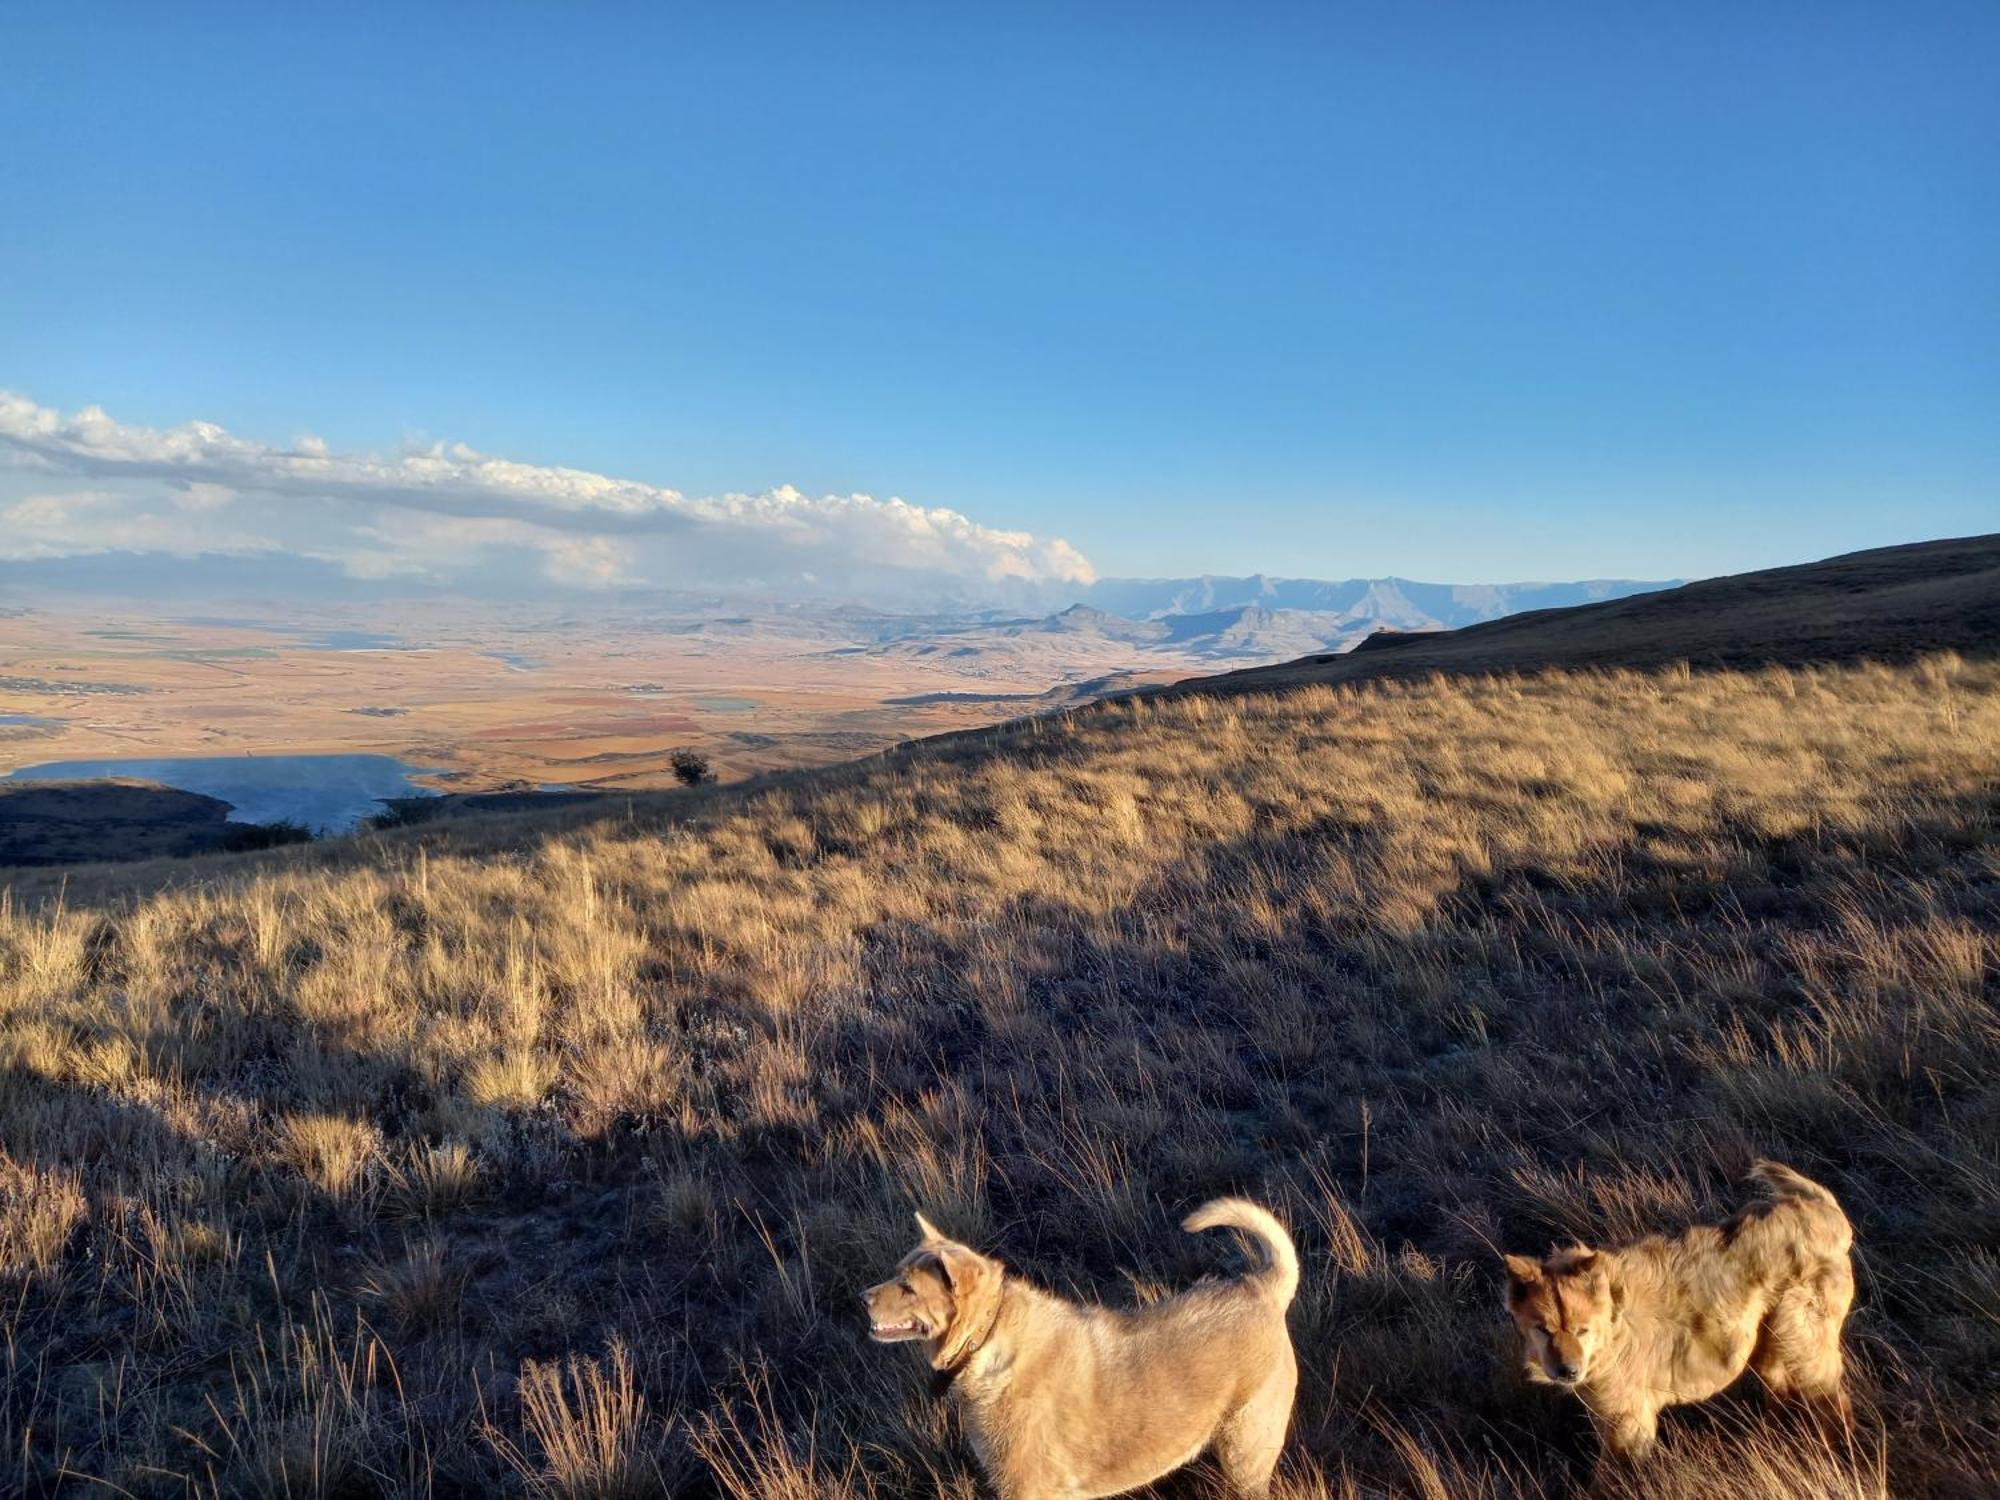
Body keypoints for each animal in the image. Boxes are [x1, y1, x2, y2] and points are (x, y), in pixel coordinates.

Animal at [864, 1200, 1304, 1500]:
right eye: (897, 1273)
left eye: (908, 1287)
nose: (863, 1297)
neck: (986, 1337)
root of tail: (1263, 1287)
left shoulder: (1024, 1489)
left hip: (1245, 1456)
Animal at [1504, 1160, 1848, 1472]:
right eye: (1543, 1330)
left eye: (1582, 1330)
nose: (1568, 1371)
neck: (1613, 1321)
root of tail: (1824, 1209)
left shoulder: (1628, 1423)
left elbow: (1609, 1481)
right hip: (1770, 1348)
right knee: (1781, 1394)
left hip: (1803, 1346)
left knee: (1834, 1404)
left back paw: (1833, 1458)